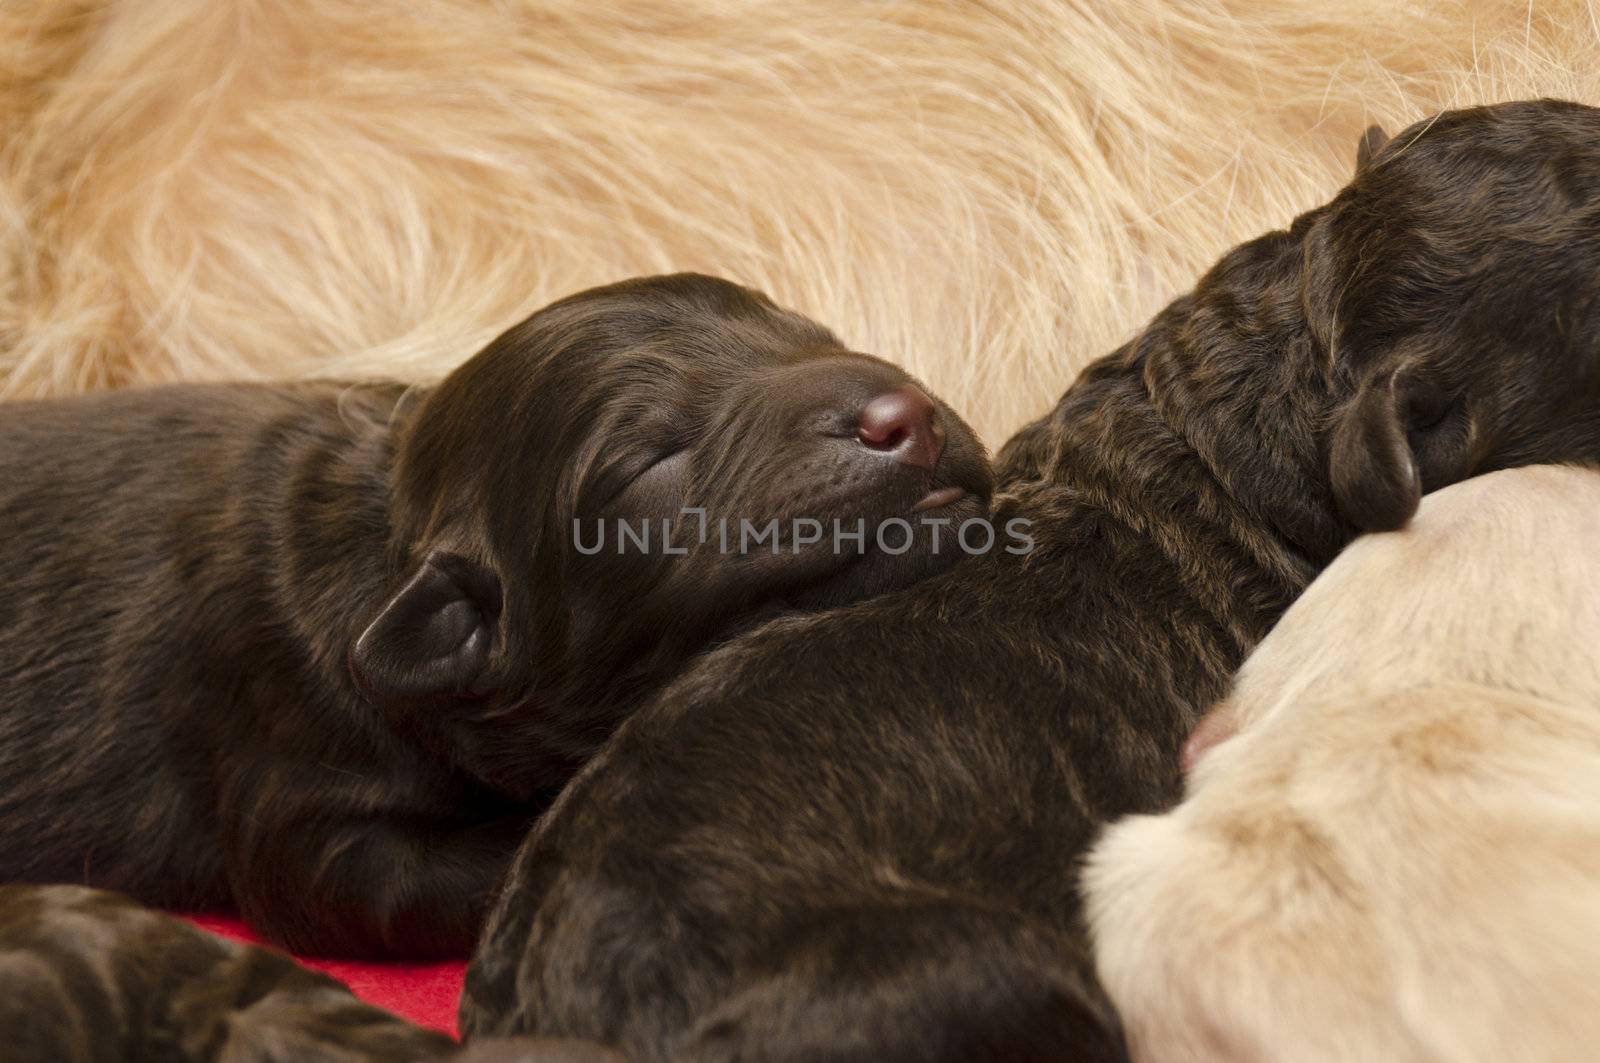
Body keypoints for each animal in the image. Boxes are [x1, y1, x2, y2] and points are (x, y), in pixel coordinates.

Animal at [0, 270, 992, 960]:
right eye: (646, 462)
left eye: (814, 335)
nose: (906, 413)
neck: (389, 533)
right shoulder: (294, 759)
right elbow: (388, 873)